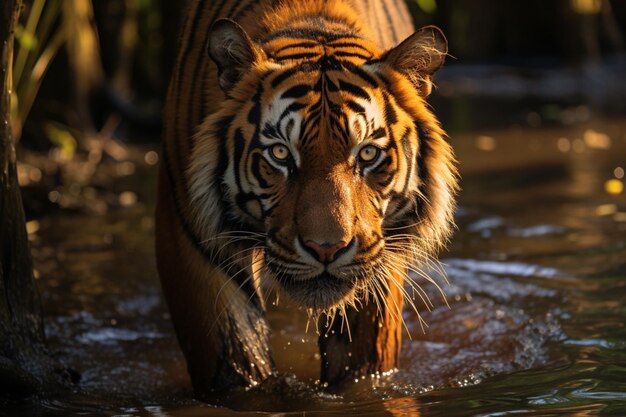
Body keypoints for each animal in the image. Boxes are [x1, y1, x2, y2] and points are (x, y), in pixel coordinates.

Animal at [155, 0, 458, 398]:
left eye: (367, 154)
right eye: (281, 153)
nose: (326, 249)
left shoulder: (380, 257)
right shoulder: (195, 245)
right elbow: (235, 360)